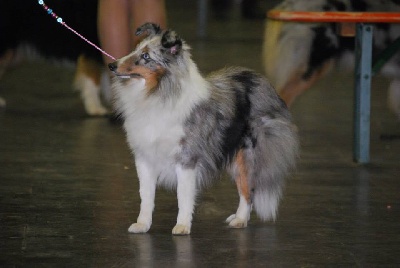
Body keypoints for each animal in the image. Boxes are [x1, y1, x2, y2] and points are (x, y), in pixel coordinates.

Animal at [108, 24, 298, 236]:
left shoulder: (186, 158)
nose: (112, 65)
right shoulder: (145, 157)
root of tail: (263, 82)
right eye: (135, 49)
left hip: (248, 154)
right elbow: (146, 195)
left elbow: (183, 196)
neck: (159, 93)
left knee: (248, 190)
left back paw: (240, 219)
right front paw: (142, 224)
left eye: (146, 56)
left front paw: (182, 226)